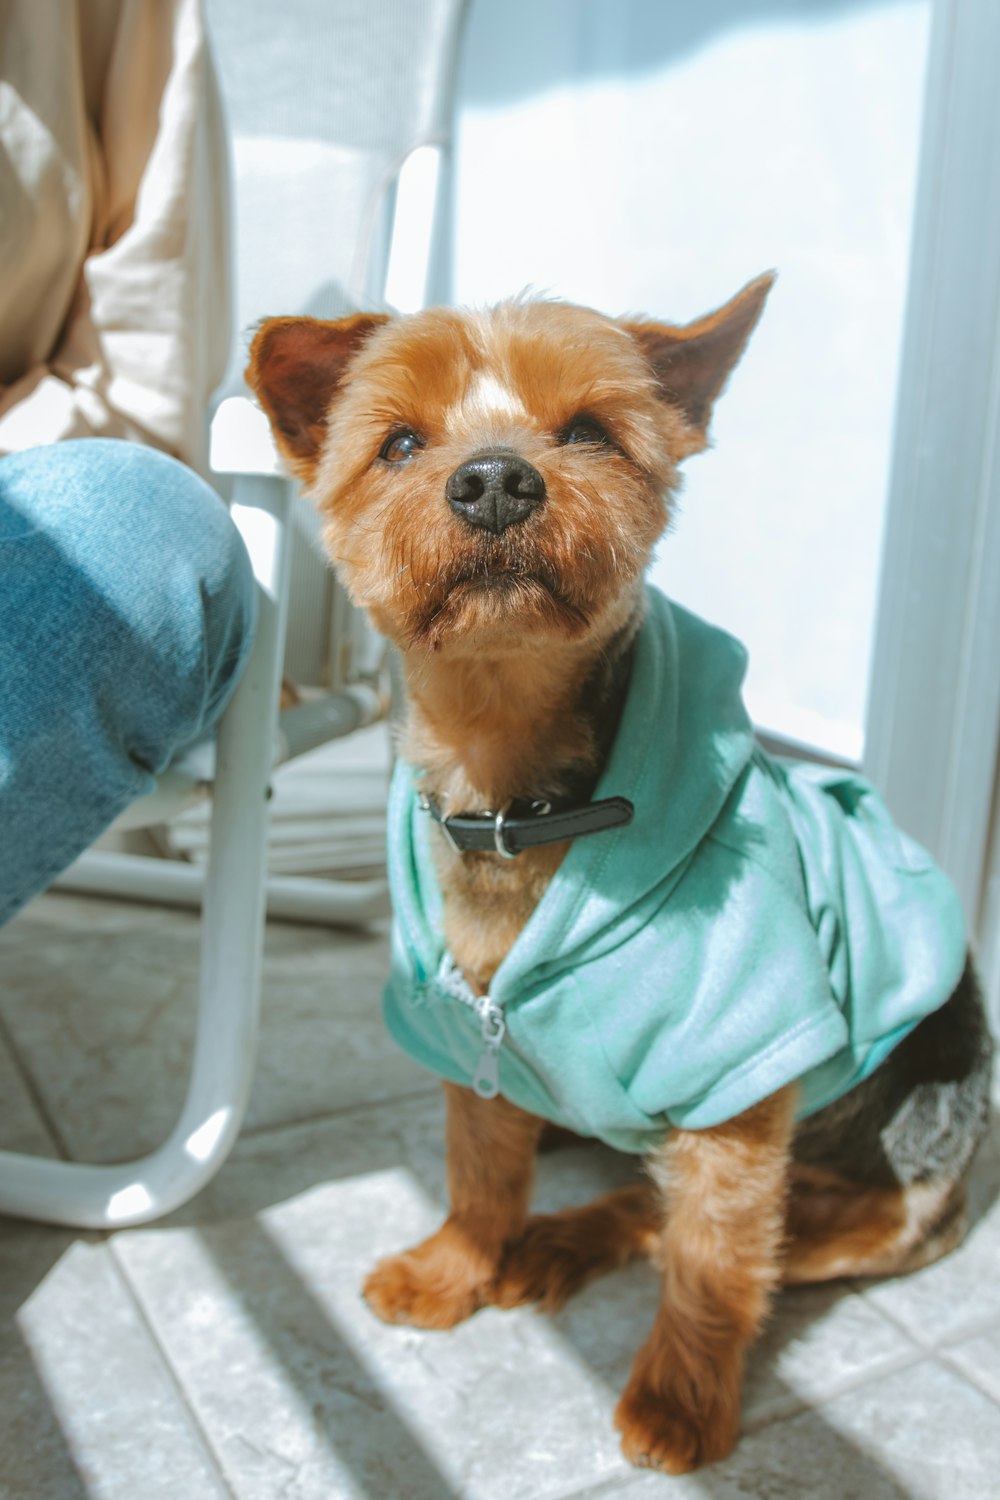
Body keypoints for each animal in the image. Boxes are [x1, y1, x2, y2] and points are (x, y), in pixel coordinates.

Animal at [250, 283, 995, 1476]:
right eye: (399, 443)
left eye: (591, 432)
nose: (495, 479)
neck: (516, 801)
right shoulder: (465, 1029)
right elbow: (478, 1164)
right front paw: (457, 1263)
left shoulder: (740, 1091)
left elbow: (712, 1261)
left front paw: (680, 1399)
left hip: (888, 1205)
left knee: (700, 1221)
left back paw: (562, 1244)